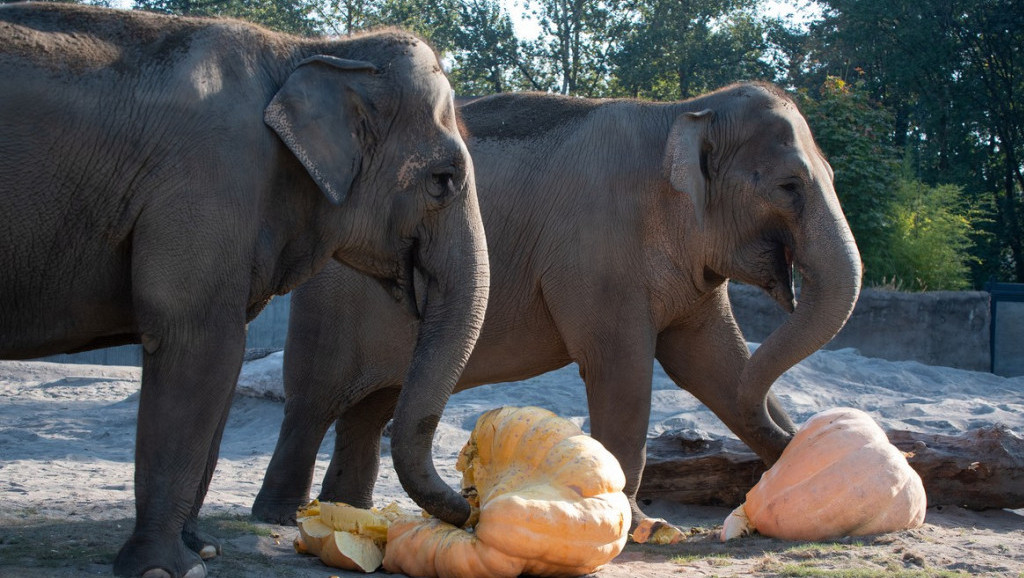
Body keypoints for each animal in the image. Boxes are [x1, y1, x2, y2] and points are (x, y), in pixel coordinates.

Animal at [0, 4, 487, 578]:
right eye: (443, 180)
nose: (471, 506)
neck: (308, 51)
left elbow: (226, 365)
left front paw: (202, 548)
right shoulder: (208, 179)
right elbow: (200, 344)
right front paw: (170, 568)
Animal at [251, 81, 860, 537]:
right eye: (789, 185)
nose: (803, 437)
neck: (683, 113)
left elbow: (714, 365)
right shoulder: (597, 252)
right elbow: (623, 372)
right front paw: (647, 527)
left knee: (371, 410)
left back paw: (352, 513)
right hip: (332, 299)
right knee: (312, 402)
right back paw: (281, 516)